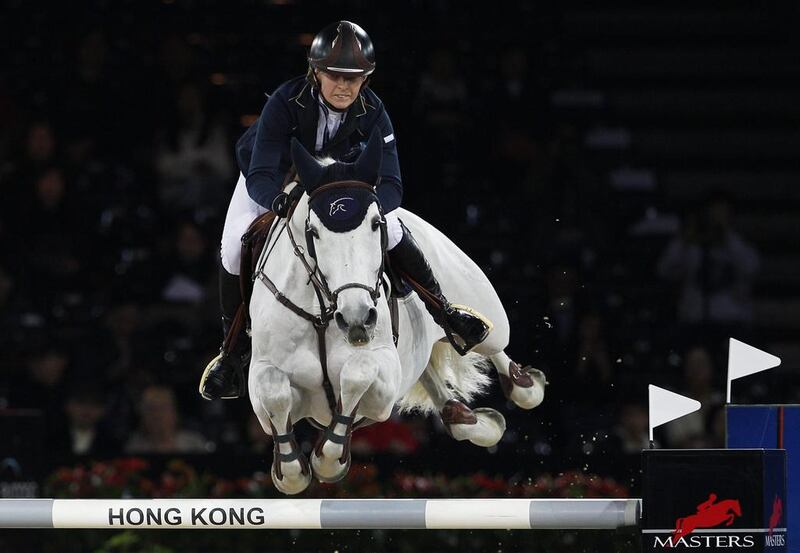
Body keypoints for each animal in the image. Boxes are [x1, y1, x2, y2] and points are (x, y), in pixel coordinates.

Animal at [245, 133, 544, 492]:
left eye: (377, 224)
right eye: (313, 232)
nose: (357, 319)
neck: (322, 311)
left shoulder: (383, 384)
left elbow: (357, 372)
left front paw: (328, 461)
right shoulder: (263, 377)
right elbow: (273, 392)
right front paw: (293, 472)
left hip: (486, 311)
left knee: (493, 347)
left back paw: (524, 383)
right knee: (439, 389)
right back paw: (472, 420)